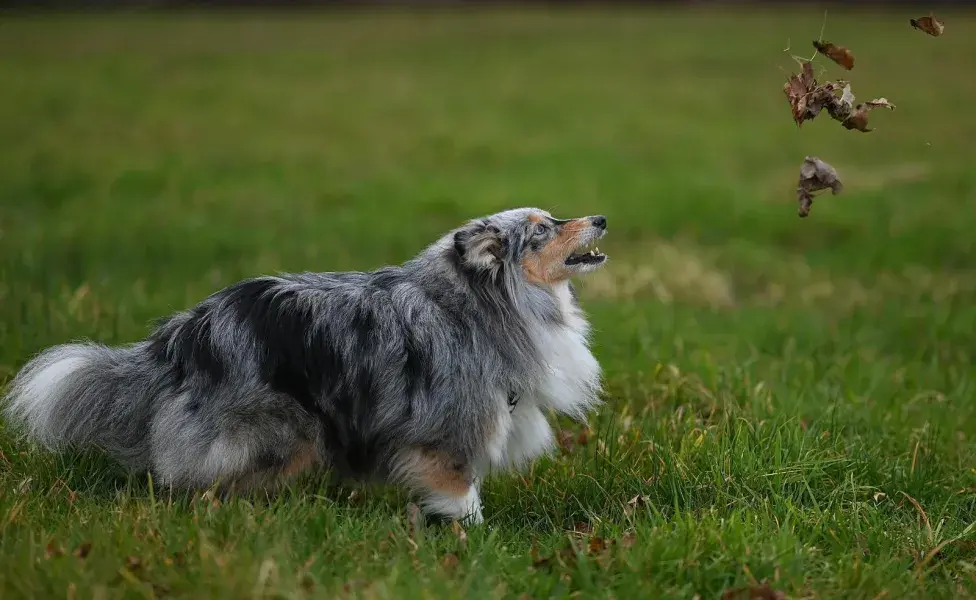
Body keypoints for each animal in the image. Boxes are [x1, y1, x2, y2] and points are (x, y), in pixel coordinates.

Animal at [3, 207, 608, 524]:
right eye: (545, 228)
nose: (600, 218)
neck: (482, 305)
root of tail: (181, 336)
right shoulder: (451, 425)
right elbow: (461, 493)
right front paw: (472, 539)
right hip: (284, 432)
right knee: (201, 485)